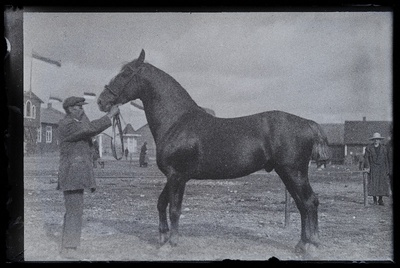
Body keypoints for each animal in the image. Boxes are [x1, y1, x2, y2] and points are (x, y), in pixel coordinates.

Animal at [98, 49, 330, 253]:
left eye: (126, 72)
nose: (102, 101)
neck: (177, 122)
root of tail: (308, 123)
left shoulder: (176, 176)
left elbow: (174, 209)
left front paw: (171, 244)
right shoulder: (175, 177)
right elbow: (162, 203)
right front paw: (163, 237)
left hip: (294, 172)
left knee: (310, 202)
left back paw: (312, 246)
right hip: (287, 173)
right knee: (302, 205)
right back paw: (301, 245)